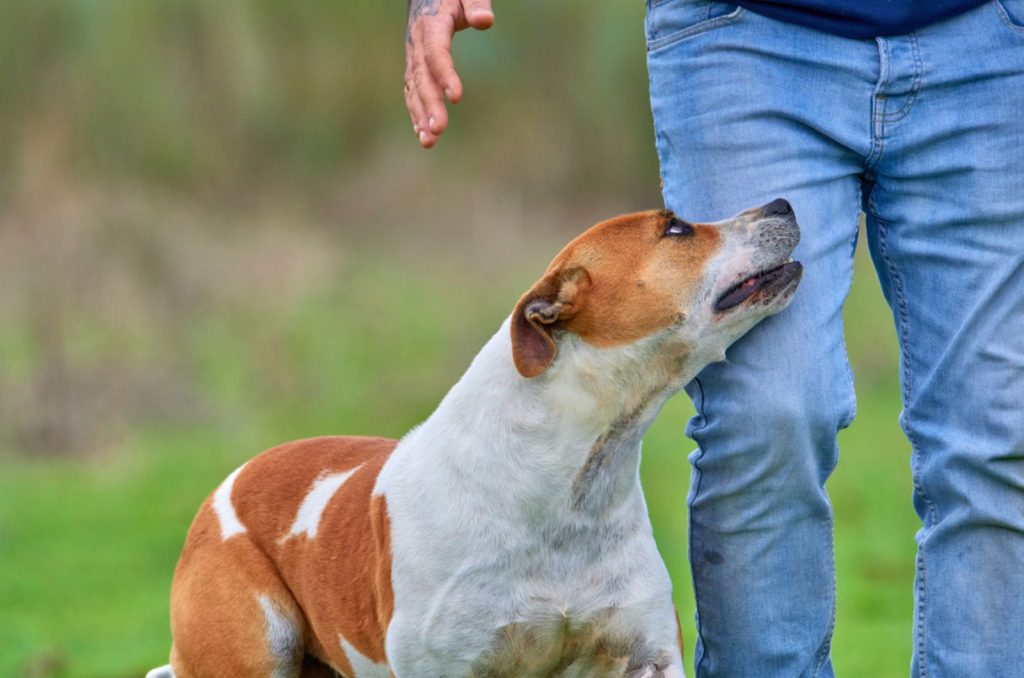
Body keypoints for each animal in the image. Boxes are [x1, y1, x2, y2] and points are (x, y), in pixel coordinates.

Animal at [146, 201, 798, 678]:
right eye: (675, 228)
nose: (783, 202)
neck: (566, 485)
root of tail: (227, 484)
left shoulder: (646, 654)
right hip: (251, 649)